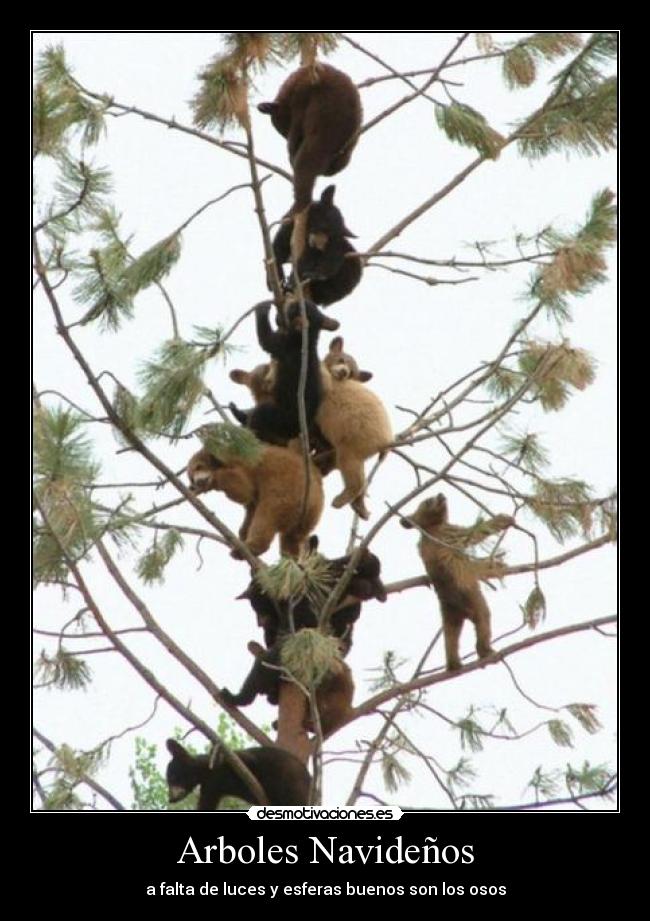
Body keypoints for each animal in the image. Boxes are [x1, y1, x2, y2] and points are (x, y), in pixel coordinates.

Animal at [165, 739, 311, 808]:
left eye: (172, 778)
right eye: (168, 781)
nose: (170, 799)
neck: (207, 774)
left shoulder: (236, 760)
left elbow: (249, 760)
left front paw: (215, 754)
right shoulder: (210, 789)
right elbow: (205, 806)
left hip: (292, 782)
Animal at [187, 443, 323, 559]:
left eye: (199, 466)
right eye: (191, 477)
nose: (198, 482)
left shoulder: (245, 463)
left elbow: (242, 488)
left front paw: (215, 479)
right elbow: (251, 507)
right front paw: (242, 533)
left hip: (287, 493)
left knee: (265, 517)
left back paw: (249, 549)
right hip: (308, 518)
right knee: (291, 538)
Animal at [228, 298, 339, 445]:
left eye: (293, 308)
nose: (293, 299)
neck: (308, 339)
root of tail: (297, 431)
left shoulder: (282, 344)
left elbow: (266, 339)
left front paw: (263, 308)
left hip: (279, 417)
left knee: (259, 416)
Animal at [400, 494, 514, 671]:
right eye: (428, 501)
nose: (441, 494)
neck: (430, 528)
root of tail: (462, 610)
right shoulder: (451, 533)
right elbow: (476, 533)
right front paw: (503, 520)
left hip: (448, 613)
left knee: (450, 637)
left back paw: (453, 664)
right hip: (474, 600)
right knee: (483, 620)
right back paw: (486, 652)